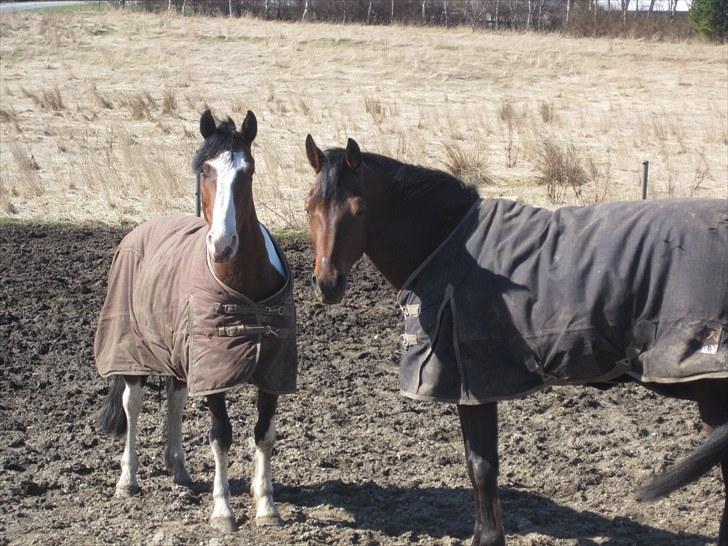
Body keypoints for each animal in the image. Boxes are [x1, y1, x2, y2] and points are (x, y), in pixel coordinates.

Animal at [95, 109, 298, 532]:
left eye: (247, 171)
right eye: (205, 170)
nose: (222, 245)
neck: (245, 289)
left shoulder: (272, 369)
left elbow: (264, 434)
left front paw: (266, 506)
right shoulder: (213, 371)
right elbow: (221, 434)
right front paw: (223, 511)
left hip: (179, 356)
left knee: (174, 400)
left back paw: (180, 471)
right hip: (133, 353)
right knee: (132, 404)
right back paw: (128, 480)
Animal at [302, 133, 728, 544]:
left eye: (359, 209)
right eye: (309, 207)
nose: (327, 284)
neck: (448, 243)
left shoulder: (473, 384)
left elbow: (482, 466)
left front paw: (488, 538)